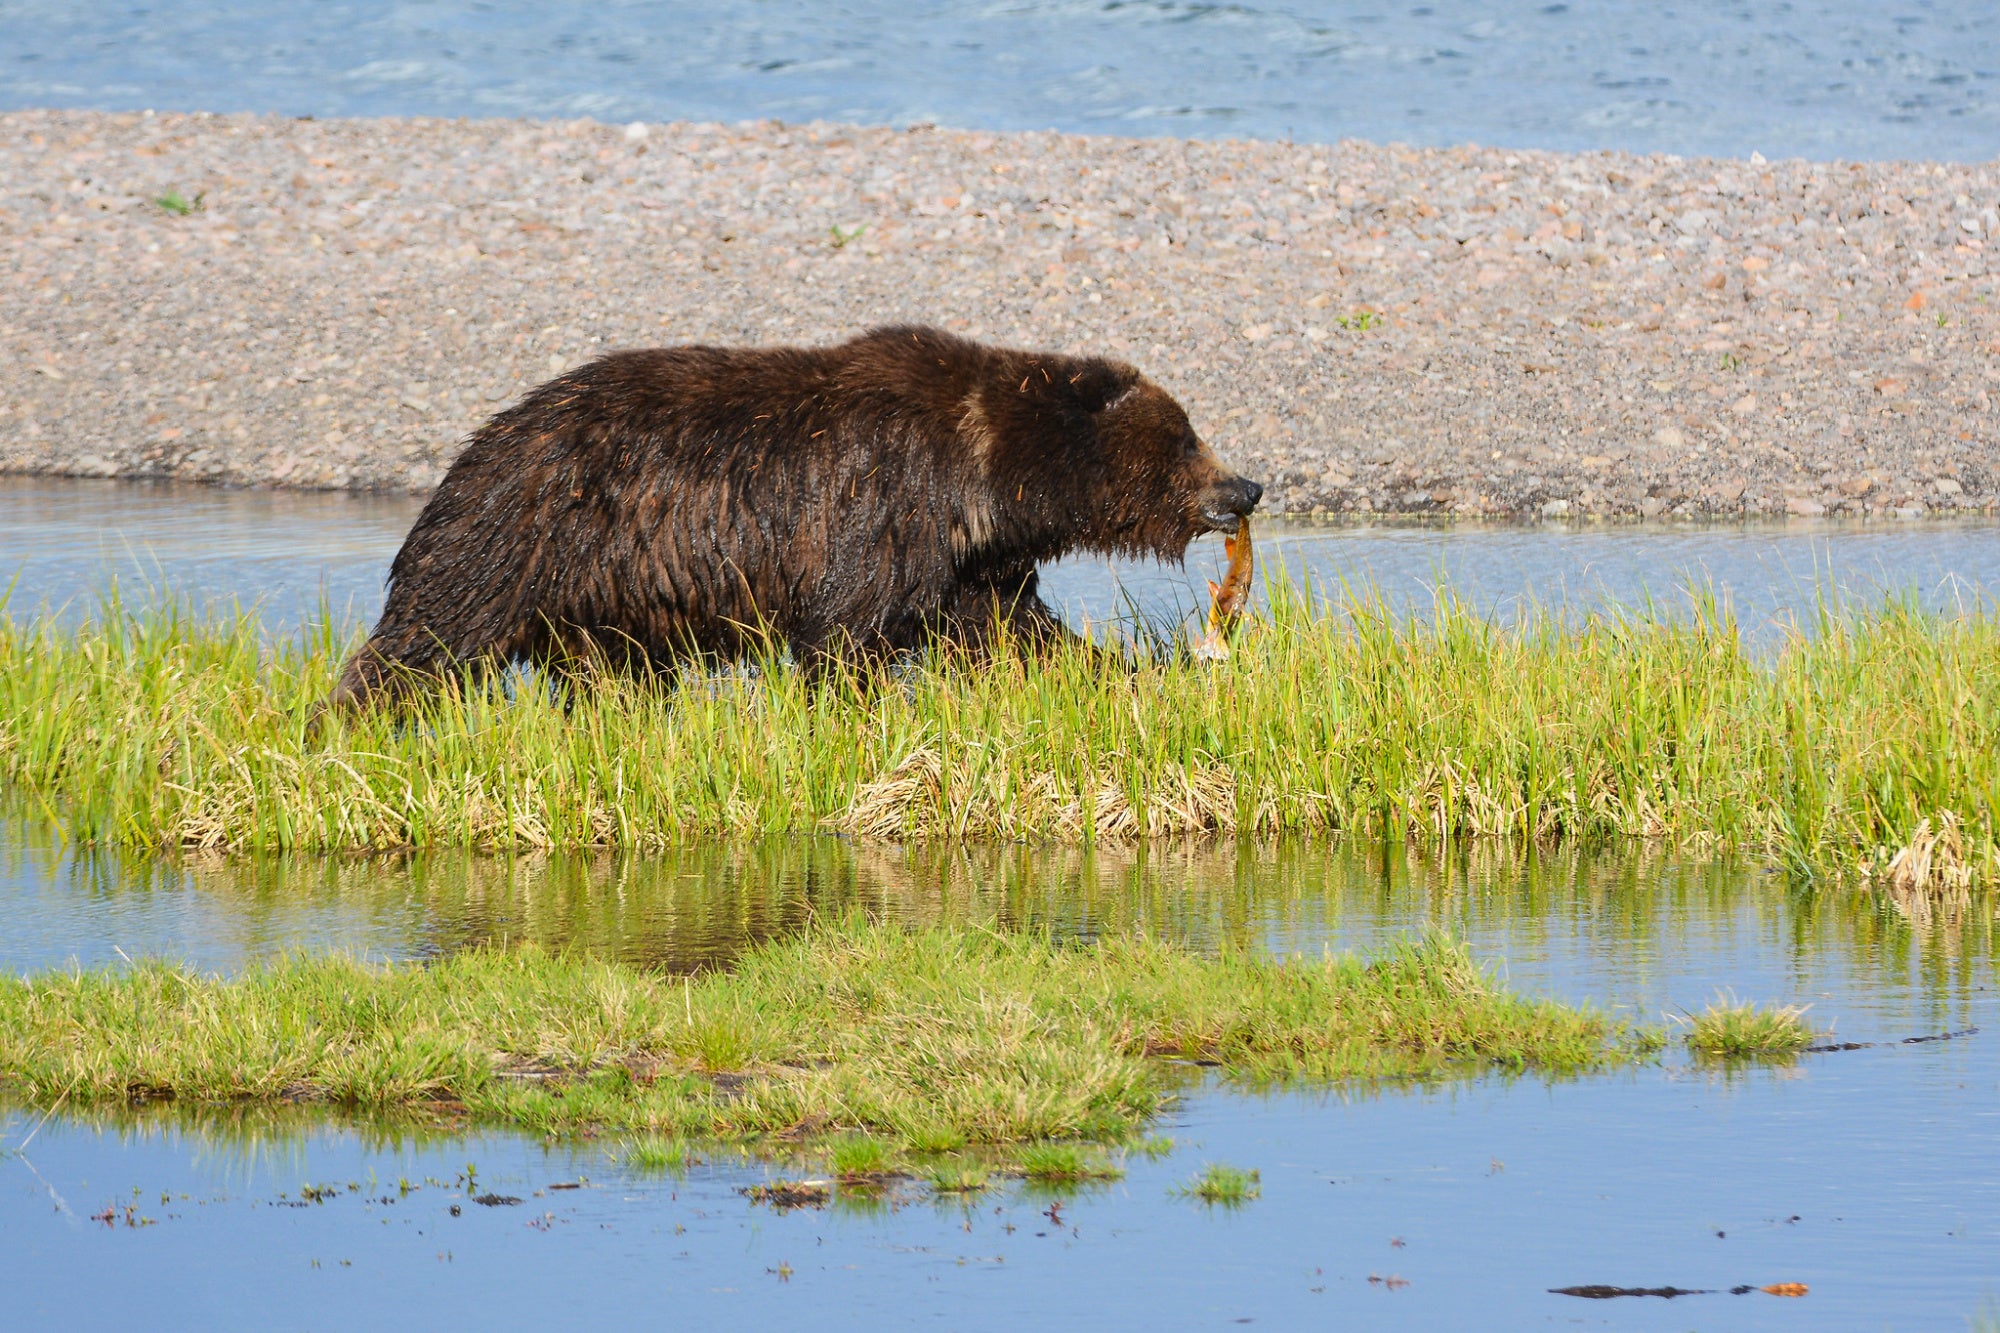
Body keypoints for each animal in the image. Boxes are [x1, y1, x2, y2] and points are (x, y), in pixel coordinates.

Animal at [329, 324, 1263, 708]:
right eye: (1185, 437)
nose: (1246, 487)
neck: (986, 479)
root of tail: (482, 438)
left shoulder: (963, 561)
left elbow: (1008, 629)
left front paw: (1131, 671)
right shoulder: (883, 505)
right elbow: (844, 633)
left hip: (602, 599)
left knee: (612, 676)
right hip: (516, 535)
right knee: (427, 636)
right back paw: (351, 722)